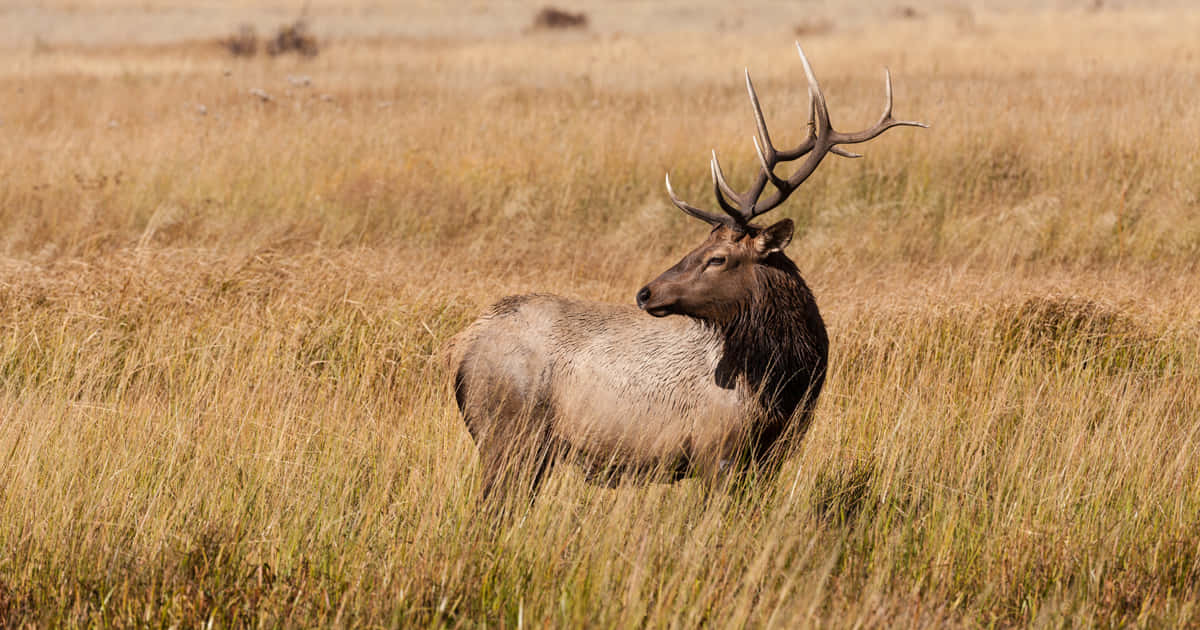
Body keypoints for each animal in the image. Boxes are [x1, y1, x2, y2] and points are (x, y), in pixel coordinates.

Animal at [449, 43, 926, 506]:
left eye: (716, 257)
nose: (645, 292)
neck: (786, 385)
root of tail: (463, 353)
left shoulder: (773, 455)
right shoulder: (717, 452)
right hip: (509, 436)